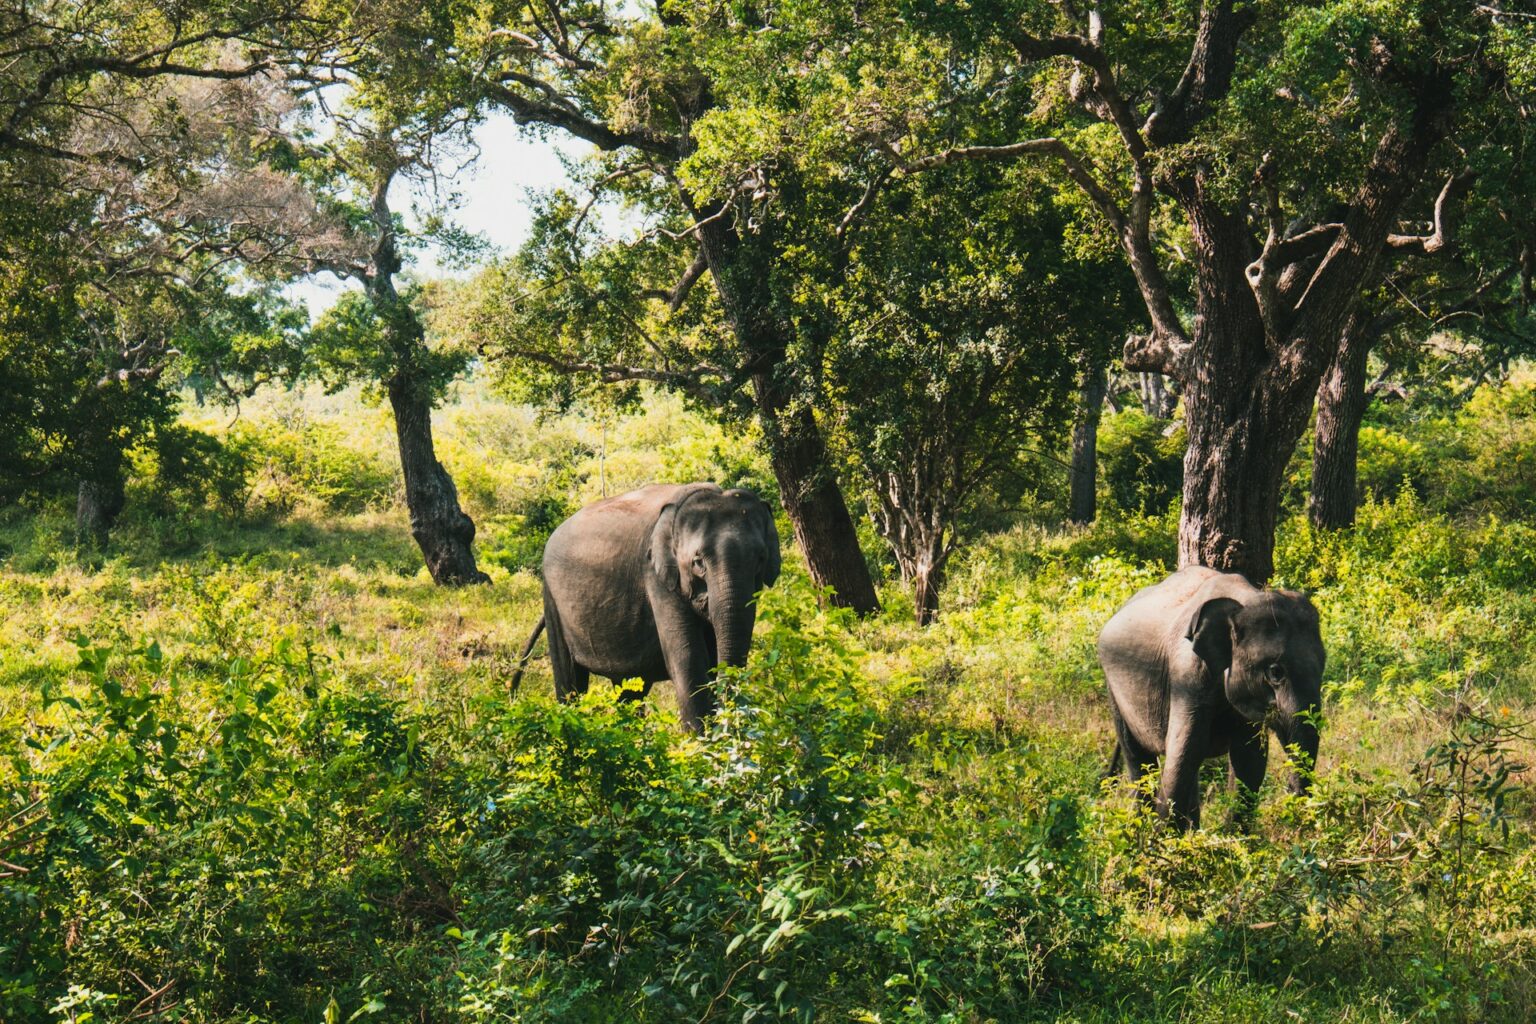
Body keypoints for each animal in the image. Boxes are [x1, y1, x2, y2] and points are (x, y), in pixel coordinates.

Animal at [513, 485, 786, 733]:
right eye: (698, 563)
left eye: (761, 559)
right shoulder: (657, 578)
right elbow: (688, 658)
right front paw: (702, 748)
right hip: (552, 601)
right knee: (570, 681)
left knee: (630, 690)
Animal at [1099, 568, 1327, 835]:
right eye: (1275, 672)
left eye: (1323, 666)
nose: (1290, 791)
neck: (1245, 599)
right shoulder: (1187, 676)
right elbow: (1185, 750)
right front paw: (1165, 841)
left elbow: (1248, 759)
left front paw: (1234, 839)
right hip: (1113, 689)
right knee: (1138, 758)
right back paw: (1140, 830)